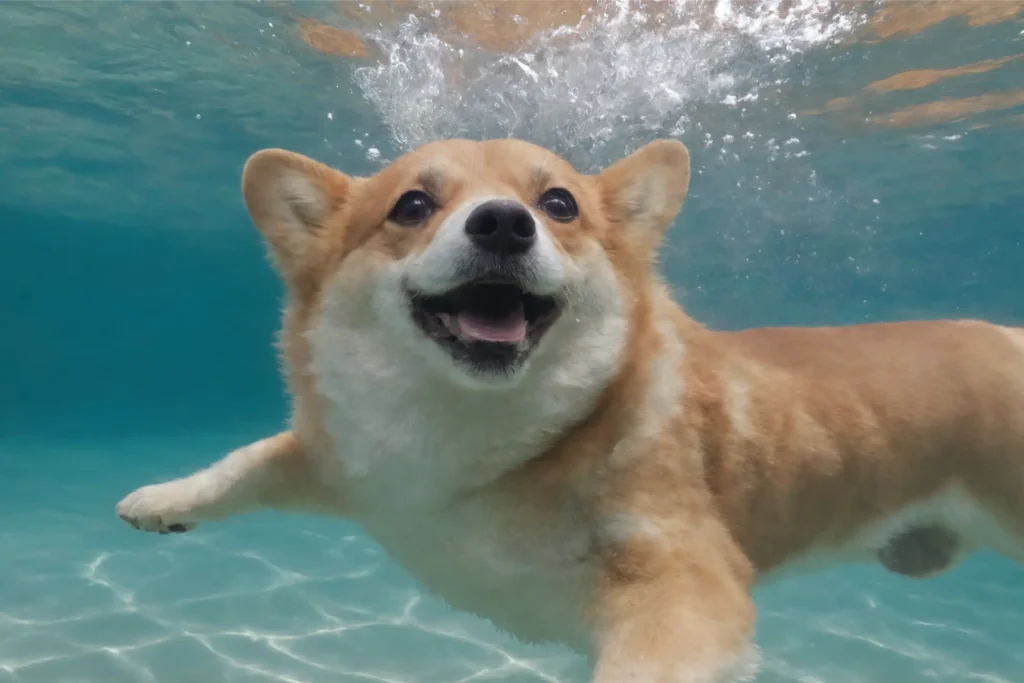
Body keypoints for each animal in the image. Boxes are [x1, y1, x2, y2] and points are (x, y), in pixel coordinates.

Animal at [117, 136, 1024, 679]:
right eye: (412, 205)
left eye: (558, 204)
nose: (503, 223)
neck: (478, 439)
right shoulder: (347, 461)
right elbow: (247, 461)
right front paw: (163, 500)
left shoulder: (687, 584)